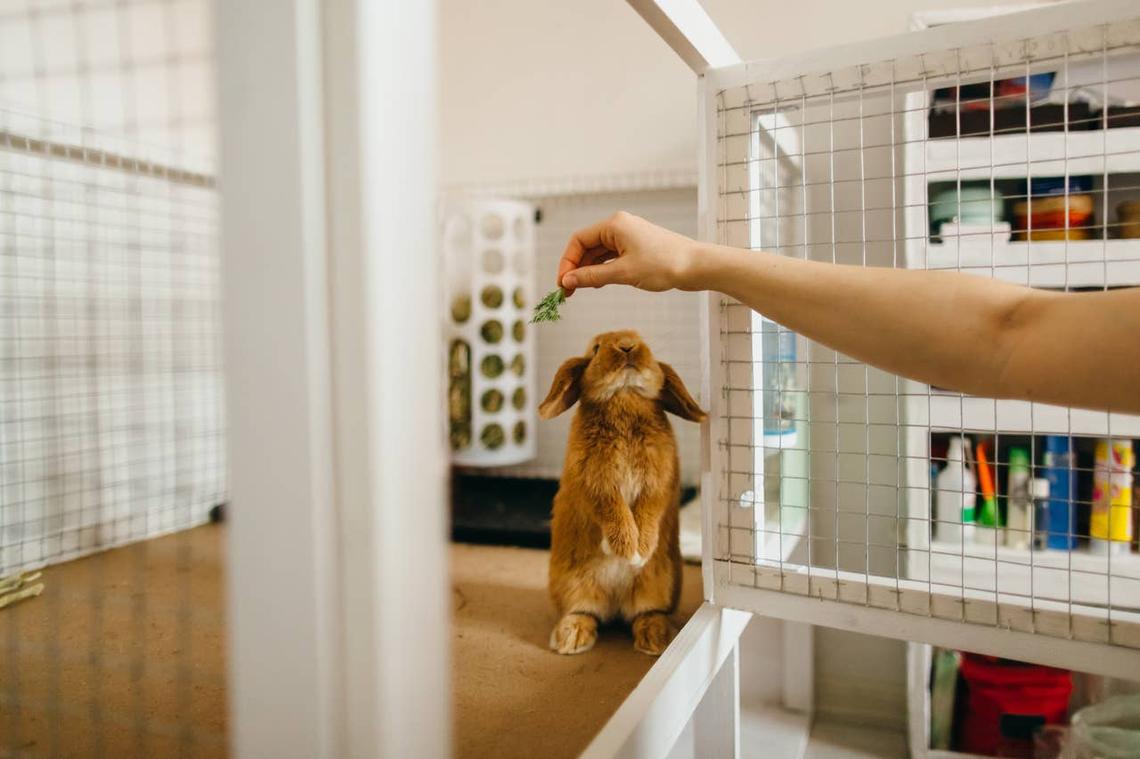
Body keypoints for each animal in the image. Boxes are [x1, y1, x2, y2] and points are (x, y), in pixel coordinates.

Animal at [539, 329, 706, 656]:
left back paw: (655, 639)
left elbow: (649, 509)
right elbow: (612, 510)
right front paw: (627, 548)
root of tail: (616, 605)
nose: (627, 346)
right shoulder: (594, 482)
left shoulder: (659, 480)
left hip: (660, 584)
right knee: (584, 612)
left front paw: (640, 548)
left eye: (644, 341)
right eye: (595, 349)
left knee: (645, 613)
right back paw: (571, 638)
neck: (624, 396)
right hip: (572, 584)